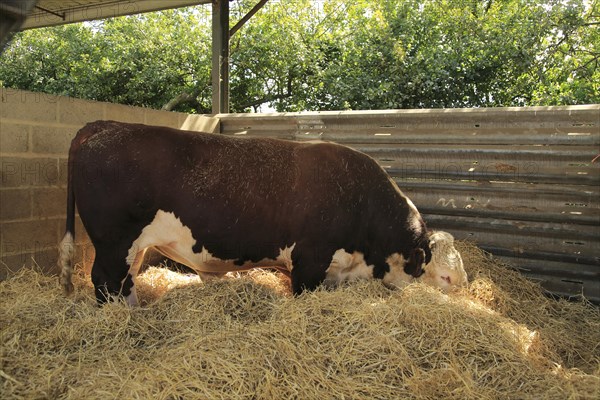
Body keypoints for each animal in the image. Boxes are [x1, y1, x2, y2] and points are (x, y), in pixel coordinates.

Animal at [57, 120, 468, 304]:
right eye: (444, 275)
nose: (462, 289)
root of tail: (105, 126)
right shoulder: (309, 263)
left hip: (133, 248)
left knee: (124, 281)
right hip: (114, 243)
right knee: (104, 281)